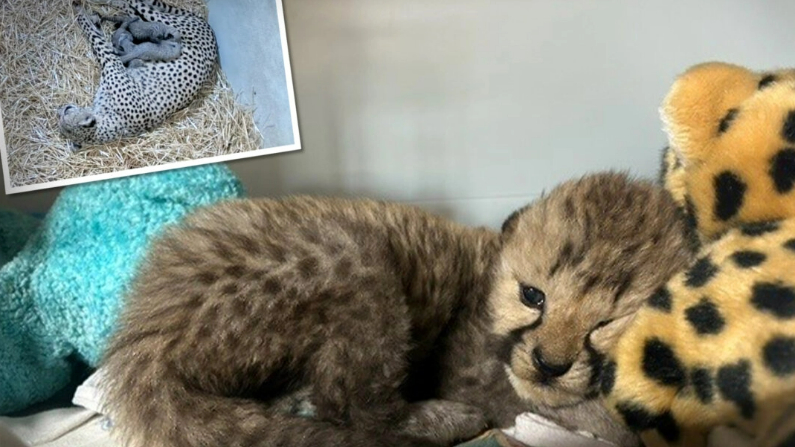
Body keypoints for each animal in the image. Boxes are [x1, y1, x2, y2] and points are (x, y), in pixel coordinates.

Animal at [56, 0, 219, 150]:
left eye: (67, 111)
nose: (61, 109)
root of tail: (206, 25)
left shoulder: (111, 60)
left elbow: (93, 35)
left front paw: (81, 14)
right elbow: (97, 33)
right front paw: (92, 18)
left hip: (165, 21)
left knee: (139, 7)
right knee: (136, 12)